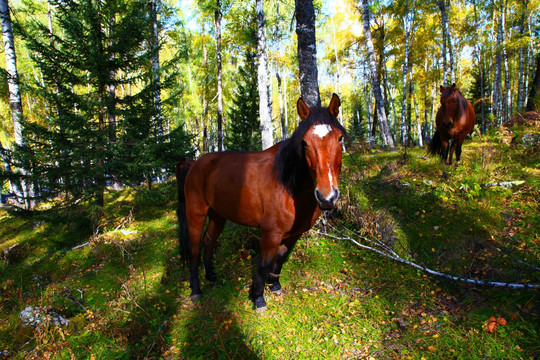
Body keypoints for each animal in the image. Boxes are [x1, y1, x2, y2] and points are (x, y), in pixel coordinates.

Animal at [177, 94, 346, 310]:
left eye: (340, 138)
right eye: (305, 142)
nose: (327, 197)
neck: (288, 184)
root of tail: (193, 164)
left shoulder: (293, 234)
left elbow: (280, 258)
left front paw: (275, 285)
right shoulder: (270, 232)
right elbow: (265, 262)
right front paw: (258, 298)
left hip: (218, 215)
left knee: (209, 241)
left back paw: (212, 277)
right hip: (196, 213)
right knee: (194, 248)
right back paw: (196, 290)